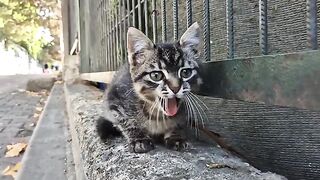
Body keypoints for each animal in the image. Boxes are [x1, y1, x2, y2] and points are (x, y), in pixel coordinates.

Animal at [96, 21, 204, 153]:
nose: (175, 88)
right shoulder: (114, 99)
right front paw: (139, 139)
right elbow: (127, 121)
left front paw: (176, 137)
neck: (157, 113)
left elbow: (178, 123)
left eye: (185, 73)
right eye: (156, 75)